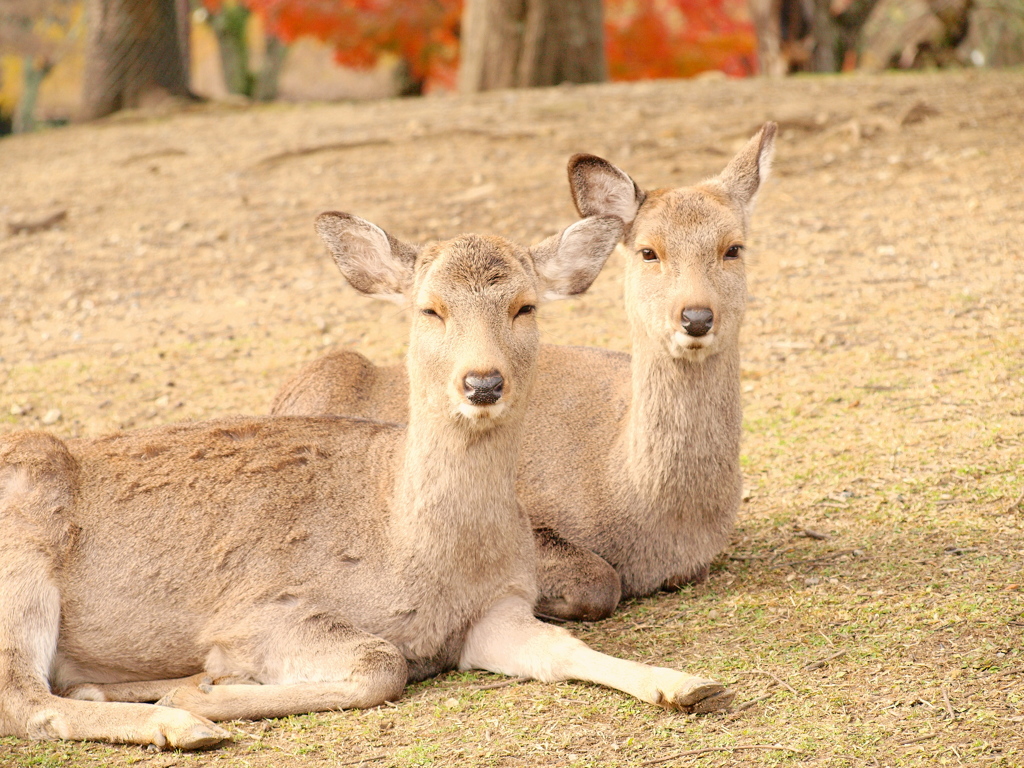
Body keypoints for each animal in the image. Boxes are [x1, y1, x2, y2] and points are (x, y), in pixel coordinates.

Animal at [0, 211, 737, 753]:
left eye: (525, 307)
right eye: (429, 309)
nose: (482, 383)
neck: (410, 546)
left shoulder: (496, 612)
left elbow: (563, 647)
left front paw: (688, 684)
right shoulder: (261, 609)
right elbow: (382, 664)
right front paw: (200, 688)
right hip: (20, 561)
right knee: (24, 698)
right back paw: (179, 721)